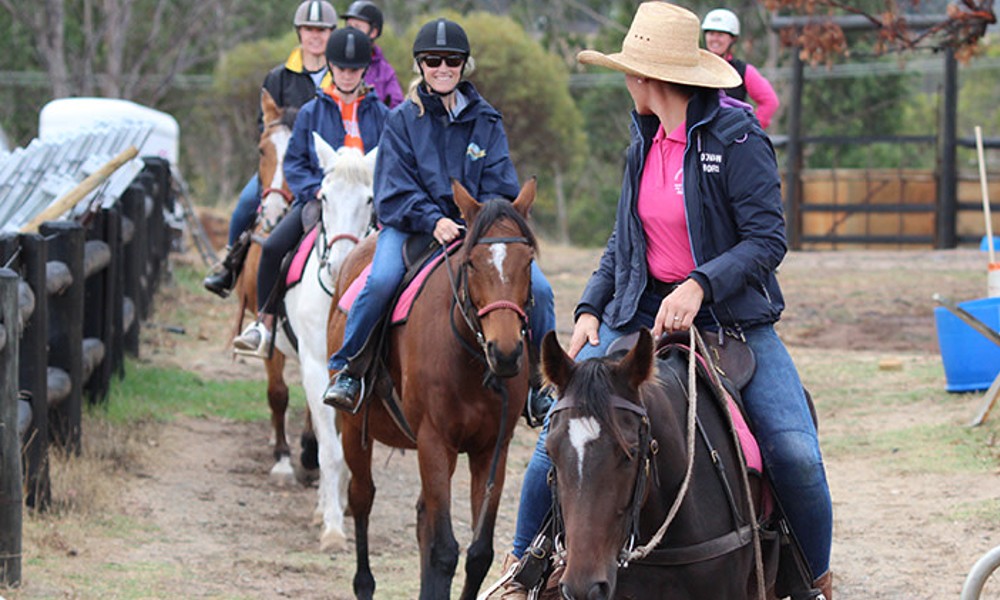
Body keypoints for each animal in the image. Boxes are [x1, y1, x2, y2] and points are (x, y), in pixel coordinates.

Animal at [326, 180, 538, 600]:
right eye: (472, 262)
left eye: (528, 262)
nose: (505, 352)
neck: (470, 357)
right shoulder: (434, 441)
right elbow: (443, 549)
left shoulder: (492, 449)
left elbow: (478, 553)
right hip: (354, 430)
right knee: (362, 498)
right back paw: (364, 583)